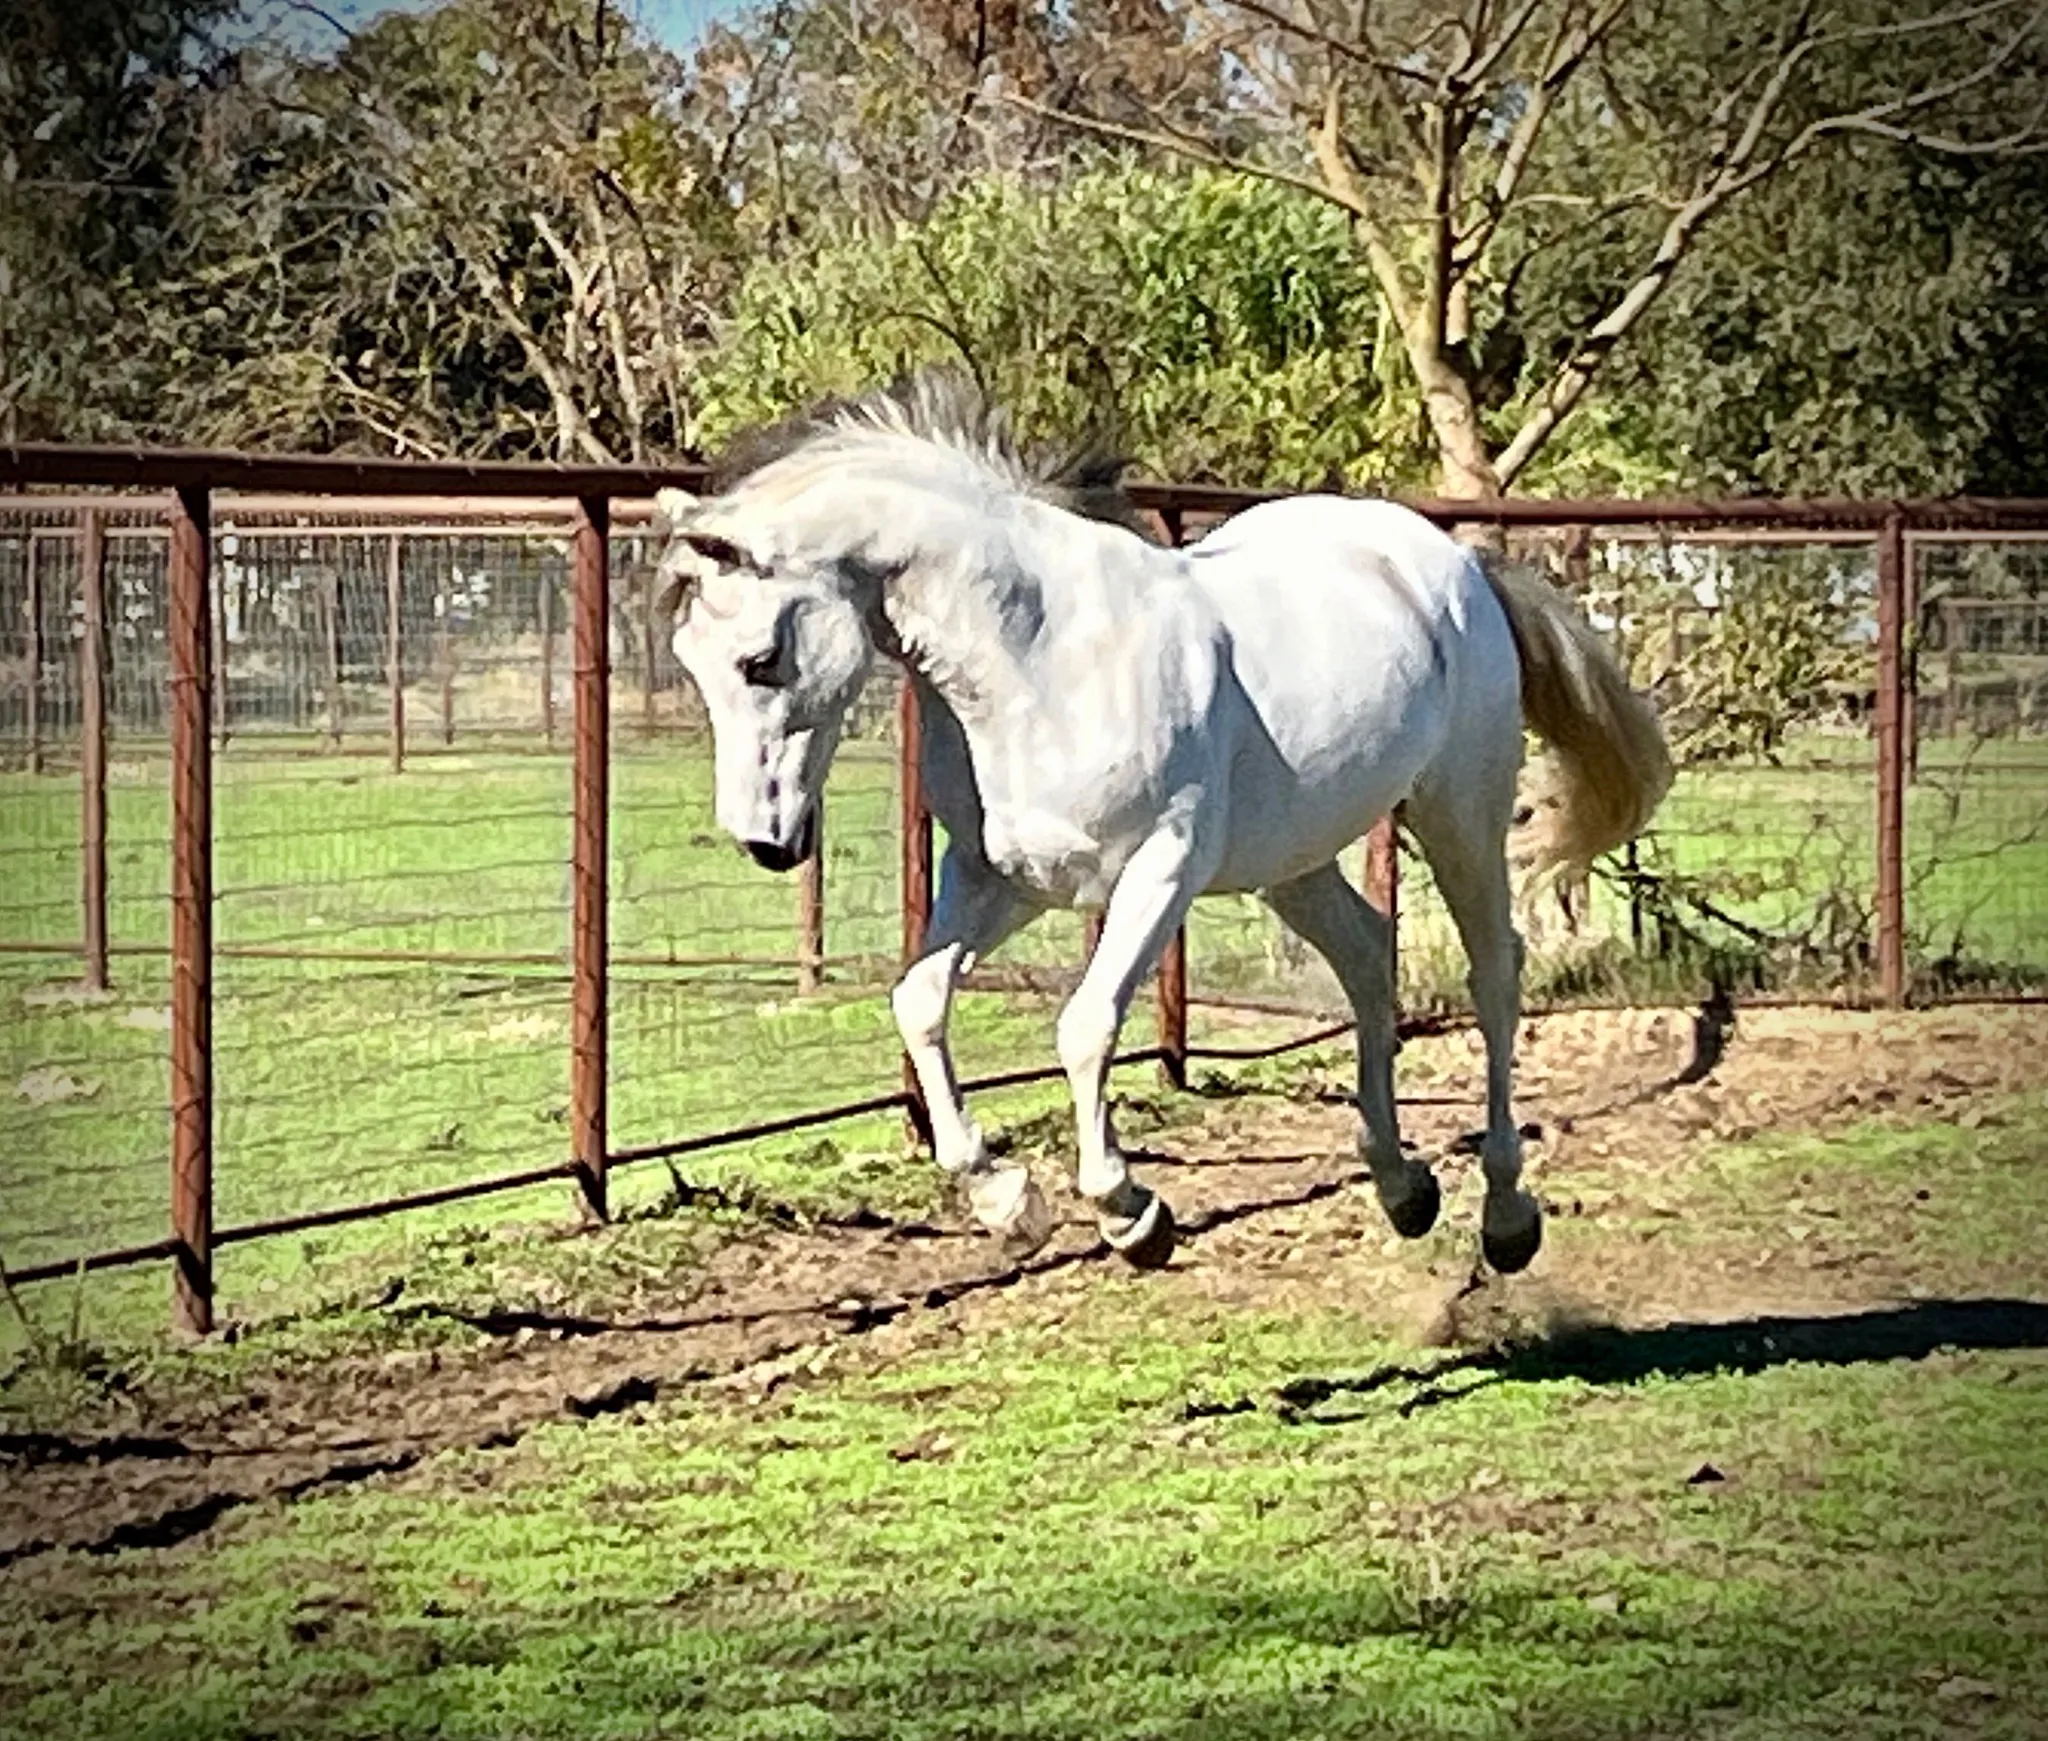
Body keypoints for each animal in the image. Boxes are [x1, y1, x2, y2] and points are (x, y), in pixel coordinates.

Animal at [651, 383, 1672, 1273]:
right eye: (690, 660)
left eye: (760, 658)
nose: (767, 841)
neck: (1036, 658)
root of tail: (1456, 565)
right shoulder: (997, 878)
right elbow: (920, 1000)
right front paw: (1005, 1200)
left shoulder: (1159, 869)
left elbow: (1084, 1024)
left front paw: (1130, 1213)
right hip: (1291, 858)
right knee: (1367, 956)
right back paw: (1401, 1186)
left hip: (1458, 807)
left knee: (1495, 969)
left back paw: (1506, 1212)